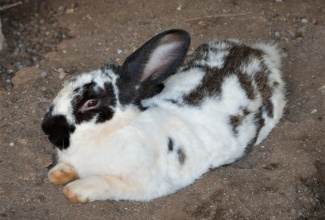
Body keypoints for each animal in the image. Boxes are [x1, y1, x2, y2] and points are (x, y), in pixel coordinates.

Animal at [41, 29, 286, 203]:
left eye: (91, 103)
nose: (47, 128)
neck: (113, 130)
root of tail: (261, 55)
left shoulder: (138, 183)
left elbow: (102, 183)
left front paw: (74, 190)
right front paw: (57, 174)